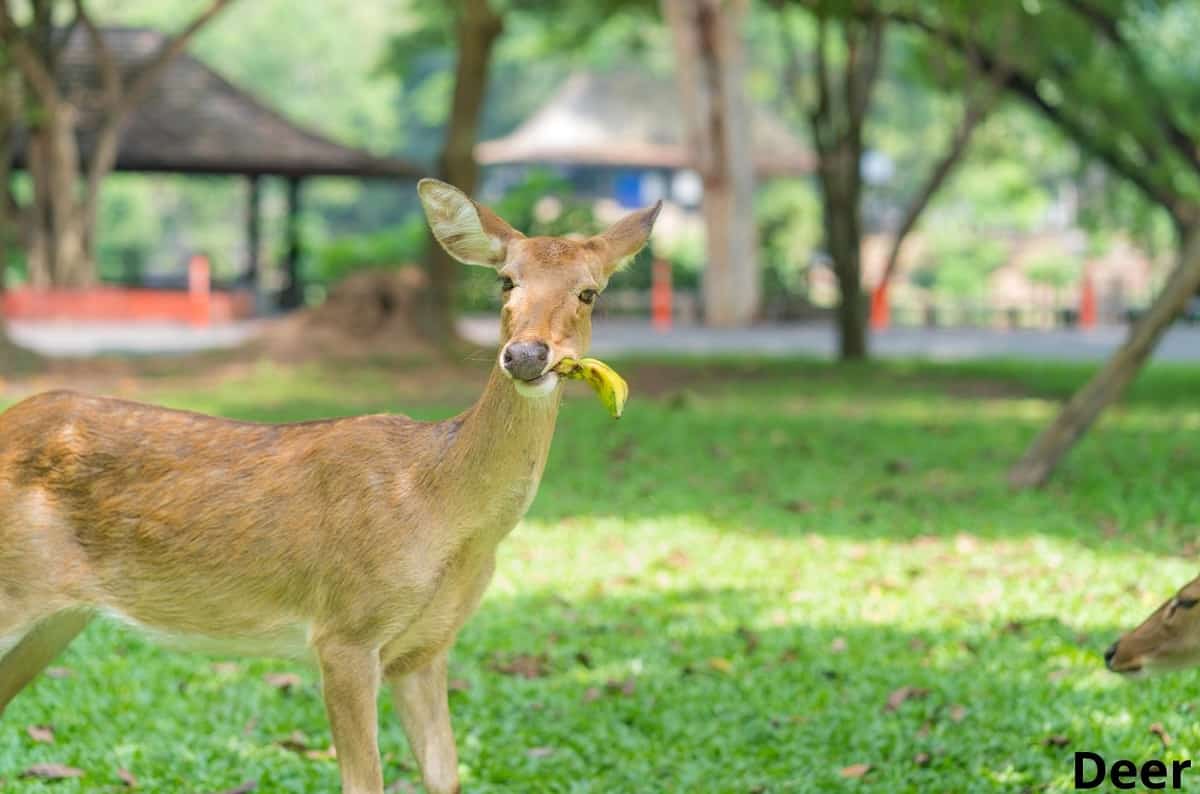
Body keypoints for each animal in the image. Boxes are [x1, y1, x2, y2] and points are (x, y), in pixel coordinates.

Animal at [0, 178, 661, 794]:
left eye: (589, 291)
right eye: (505, 281)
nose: (524, 355)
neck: (440, 506)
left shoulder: (425, 648)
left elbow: (445, 776)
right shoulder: (345, 632)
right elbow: (364, 782)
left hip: (55, 620)